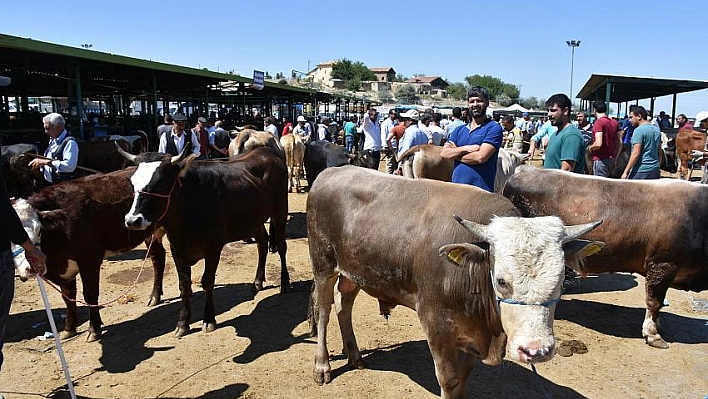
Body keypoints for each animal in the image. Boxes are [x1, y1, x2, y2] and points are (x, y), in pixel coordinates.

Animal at [12, 170, 166, 342]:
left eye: (39, 230)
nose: (31, 268)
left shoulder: (89, 259)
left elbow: (90, 294)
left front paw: (94, 330)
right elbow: (67, 297)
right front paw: (69, 328)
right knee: (158, 257)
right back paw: (155, 296)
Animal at [123, 146, 290, 338]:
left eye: (161, 183)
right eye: (132, 184)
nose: (132, 220)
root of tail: (266, 151)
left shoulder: (213, 248)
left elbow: (207, 282)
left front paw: (209, 319)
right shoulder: (177, 249)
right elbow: (184, 285)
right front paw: (183, 323)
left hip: (280, 211)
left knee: (282, 247)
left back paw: (285, 282)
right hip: (254, 219)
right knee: (262, 244)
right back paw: (257, 281)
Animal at [306, 167, 600, 398]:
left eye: (561, 282)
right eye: (501, 281)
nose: (536, 350)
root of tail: (332, 172)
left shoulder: (470, 331)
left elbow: (463, 378)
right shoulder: (436, 323)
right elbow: (449, 379)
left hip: (353, 271)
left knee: (344, 306)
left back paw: (354, 355)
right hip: (323, 265)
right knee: (324, 311)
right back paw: (322, 366)